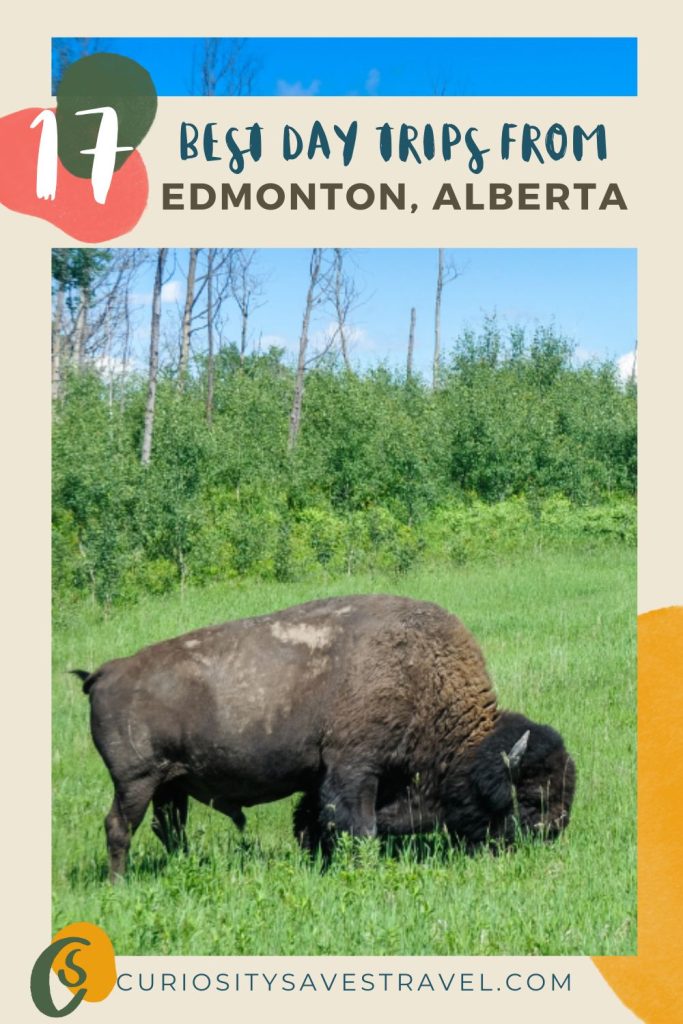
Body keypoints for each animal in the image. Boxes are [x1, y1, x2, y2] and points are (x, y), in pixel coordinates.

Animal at [73, 595, 575, 879]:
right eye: (531, 799)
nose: (552, 834)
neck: (421, 676)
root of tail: (104, 673)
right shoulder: (353, 770)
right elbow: (357, 826)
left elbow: (315, 820)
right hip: (135, 782)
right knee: (119, 827)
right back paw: (120, 883)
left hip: (170, 784)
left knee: (169, 828)